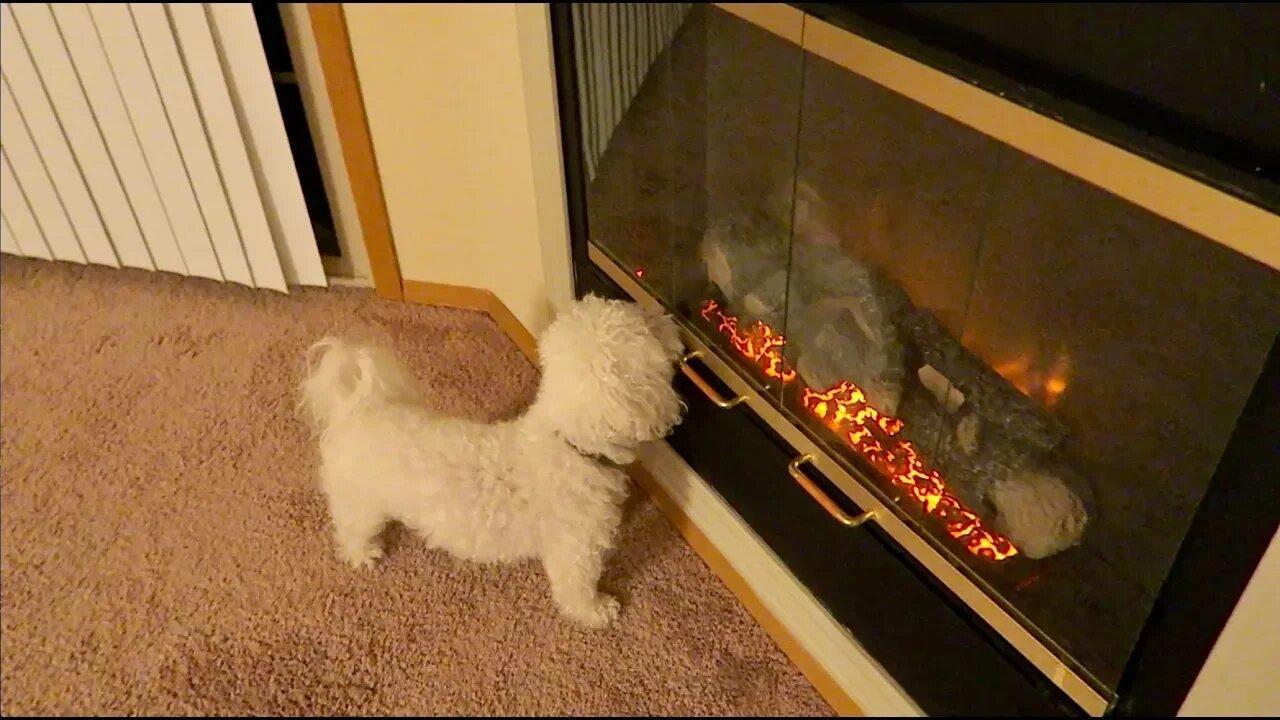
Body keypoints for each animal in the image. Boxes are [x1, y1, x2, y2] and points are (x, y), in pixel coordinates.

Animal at [299, 292, 686, 622]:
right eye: (646, 326)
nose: (667, 316)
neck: (569, 444)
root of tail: (356, 410)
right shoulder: (576, 550)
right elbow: (576, 590)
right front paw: (598, 611)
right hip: (358, 503)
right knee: (351, 531)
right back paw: (364, 554)